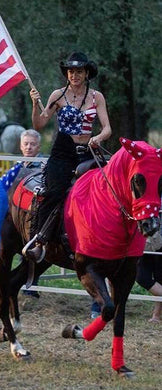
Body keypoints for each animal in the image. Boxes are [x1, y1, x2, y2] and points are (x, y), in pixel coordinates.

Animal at [0, 138, 162, 378]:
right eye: (137, 179)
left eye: (160, 181)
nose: (151, 225)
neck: (106, 205)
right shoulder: (87, 271)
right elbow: (107, 309)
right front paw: (72, 330)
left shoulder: (126, 275)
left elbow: (118, 318)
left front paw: (120, 366)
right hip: (6, 249)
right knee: (4, 288)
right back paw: (16, 346)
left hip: (43, 258)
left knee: (12, 283)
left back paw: (12, 336)